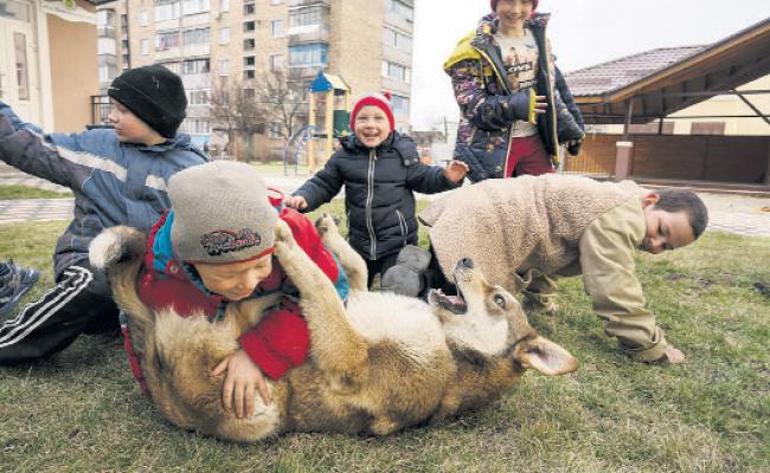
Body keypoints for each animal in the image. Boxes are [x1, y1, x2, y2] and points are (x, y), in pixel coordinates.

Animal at [90, 215, 572, 442]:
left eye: (499, 300)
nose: (467, 259)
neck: (449, 344)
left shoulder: (351, 357)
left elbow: (320, 284)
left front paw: (287, 240)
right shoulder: (356, 294)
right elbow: (352, 267)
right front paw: (324, 231)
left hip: (261, 407)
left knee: (237, 321)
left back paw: (261, 299)